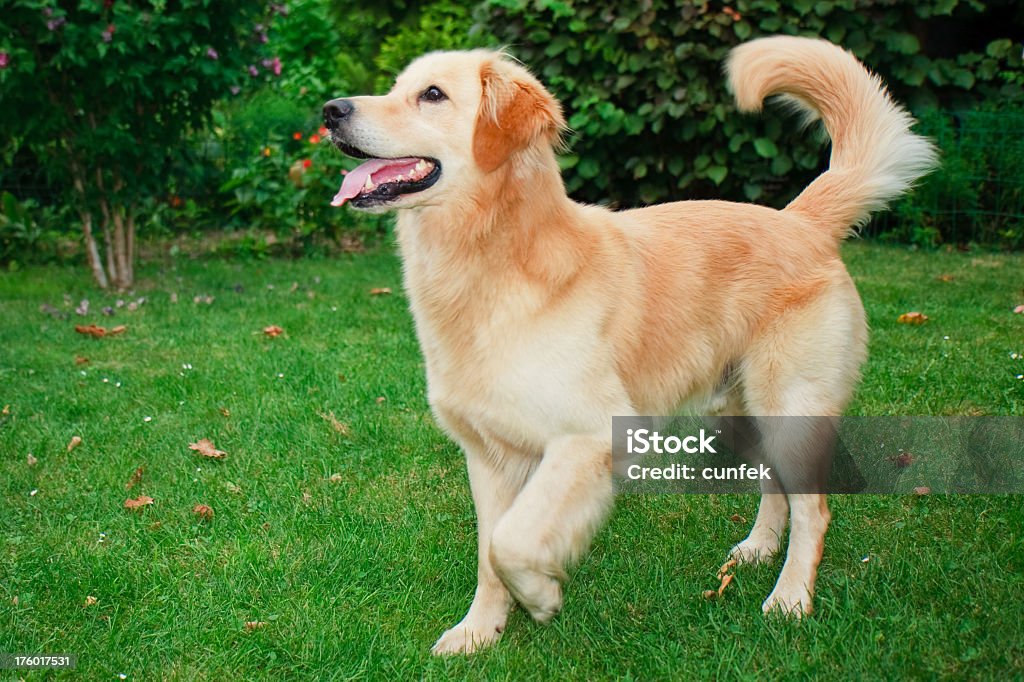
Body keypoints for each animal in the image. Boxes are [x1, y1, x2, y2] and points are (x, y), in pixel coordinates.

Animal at [321, 37, 937, 655]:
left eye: (432, 94)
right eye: (397, 87)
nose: (331, 110)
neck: (496, 259)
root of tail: (801, 222)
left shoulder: (592, 435)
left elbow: (511, 542)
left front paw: (540, 594)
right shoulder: (490, 455)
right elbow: (489, 552)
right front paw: (480, 631)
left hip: (789, 403)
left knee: (815, 510)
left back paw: (789, 598)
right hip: (737, 410)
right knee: (776, 487)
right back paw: (759, 549)